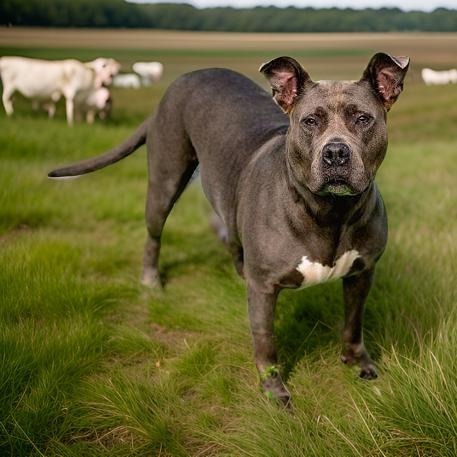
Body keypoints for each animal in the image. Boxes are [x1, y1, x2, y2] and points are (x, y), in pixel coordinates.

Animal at [50, 51, 410, 404]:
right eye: (310, 121)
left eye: (363, 119)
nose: (335, 152)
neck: (329, 212)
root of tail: (188, 76)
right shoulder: (264, 287)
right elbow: (265, 339)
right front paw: (273, 389)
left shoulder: (362, 272)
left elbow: (353, 322)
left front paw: (357, 362)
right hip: (165, 181)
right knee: (154, 235)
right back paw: (151, 281)